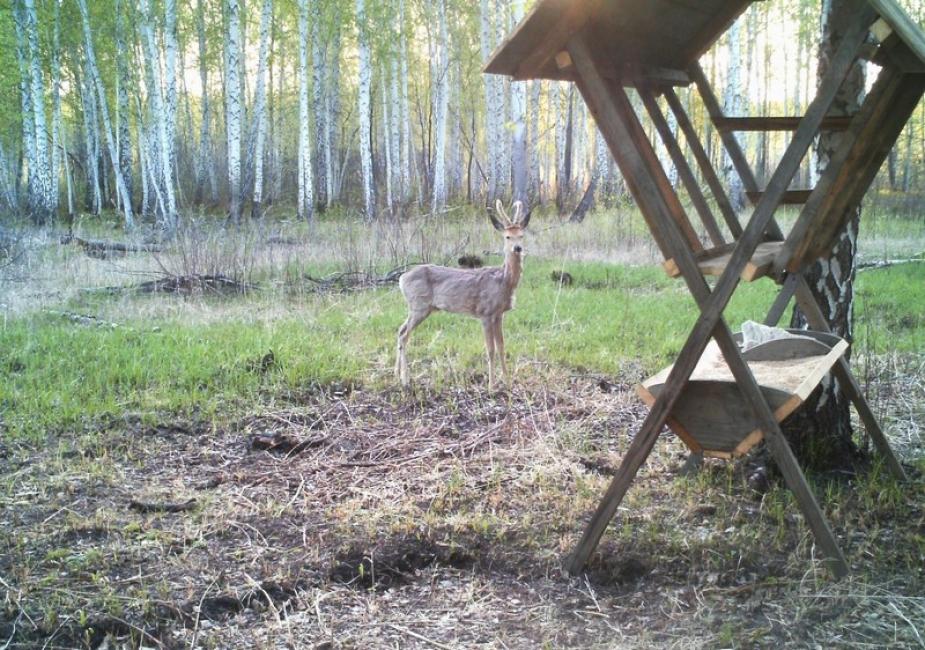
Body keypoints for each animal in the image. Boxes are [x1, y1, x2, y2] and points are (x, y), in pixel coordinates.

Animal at [394, 200, 532, 388]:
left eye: (521, 235)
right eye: (507, 237)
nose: (517, 248)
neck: (503, 281)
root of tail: (402, 278)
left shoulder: (499, 314)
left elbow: (502, 347)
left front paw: (507, 381)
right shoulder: (485, 312)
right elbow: (490, 349)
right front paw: (491, 385)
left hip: (419, 308)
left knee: (400, 330)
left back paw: (396, 374)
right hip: (418, 306)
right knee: (403, 334)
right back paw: (405, 379)